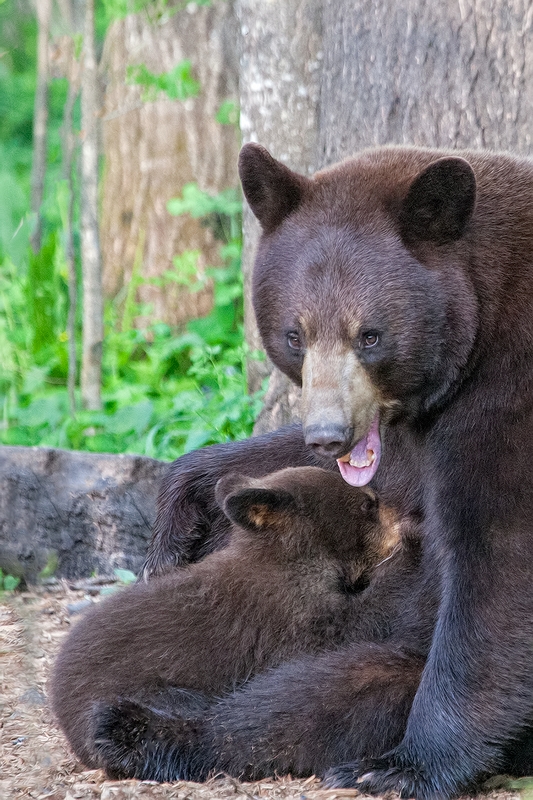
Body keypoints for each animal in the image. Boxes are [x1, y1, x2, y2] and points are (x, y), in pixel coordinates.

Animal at [130, 147, 533, 796]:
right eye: (295, 333)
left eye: (369, 334)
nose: (329, 434)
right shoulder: (406, 431)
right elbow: (342, 483)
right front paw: (174, 528)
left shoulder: (508, 400)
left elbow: (498, 567)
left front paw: (405, 766)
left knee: (333, 688)